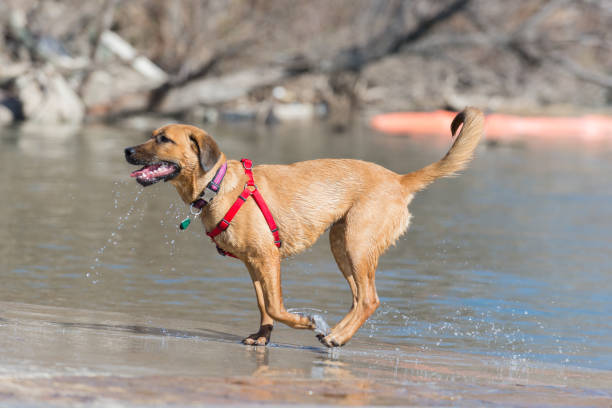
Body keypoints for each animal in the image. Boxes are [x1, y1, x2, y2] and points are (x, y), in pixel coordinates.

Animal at [126, 107, 486, 346]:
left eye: (163, 139)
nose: (127, 150)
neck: (218, 185)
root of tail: (399, 180)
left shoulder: (268, 258)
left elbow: (275, 305)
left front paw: (302, 322)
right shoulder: (253, 264)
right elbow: (263, 305)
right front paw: (263, 337)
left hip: (357, 244)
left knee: (370, 299)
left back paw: (335, 336)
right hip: (341, 245)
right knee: (359, 299)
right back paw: (337, 332)